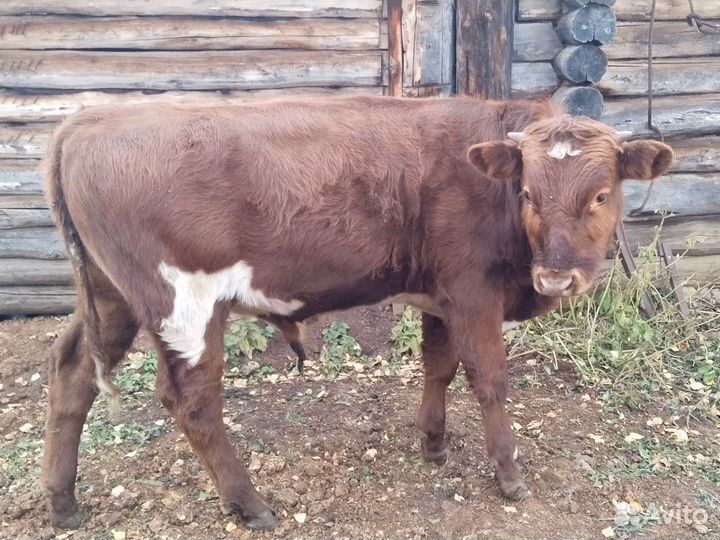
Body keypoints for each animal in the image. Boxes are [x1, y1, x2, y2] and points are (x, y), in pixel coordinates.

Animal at [42, 95, 673, 531]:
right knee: (192, 403)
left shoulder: (441, 295)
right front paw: (509, 475)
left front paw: (434, 444)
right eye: (528, 195)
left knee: (71, 372)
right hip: (182, 305)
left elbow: (438, 366)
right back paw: (250, 504)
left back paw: (62, 502)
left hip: (111, 296)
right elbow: (489, 379)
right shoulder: (473, 291)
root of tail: (88, 120)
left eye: (601, 195)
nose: (558, 278)